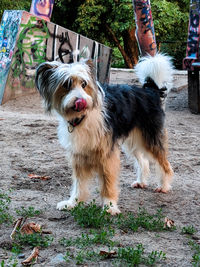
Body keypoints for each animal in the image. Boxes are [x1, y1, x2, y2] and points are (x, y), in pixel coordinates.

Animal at [35, 53, 173, 215]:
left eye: (84, 84)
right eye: (66, 84)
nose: (81, 101)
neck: (83, 118)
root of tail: (149, 91)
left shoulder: (106, 154)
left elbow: (107, 182)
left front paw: (109, 206)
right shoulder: (79, 155)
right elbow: (78, 183)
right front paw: (73, 202)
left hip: (151, 138)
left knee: (164, 163)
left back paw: (164, 186)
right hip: (133, 141)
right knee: (143, 161)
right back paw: (141, 182)